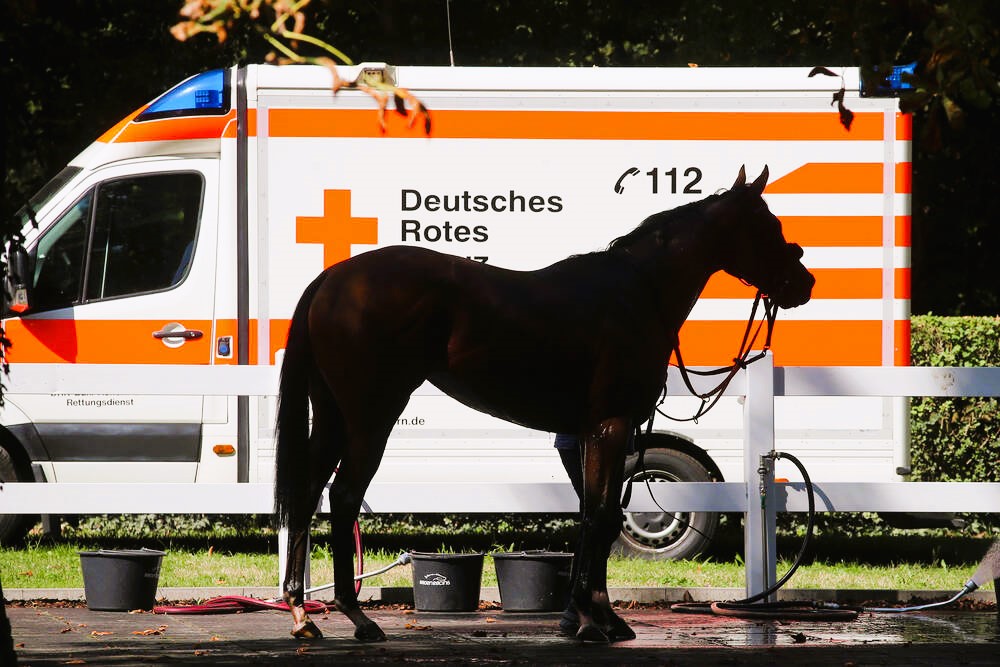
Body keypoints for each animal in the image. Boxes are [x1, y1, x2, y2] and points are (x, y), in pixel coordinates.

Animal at [272, 166, 812, 640]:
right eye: (769, 225)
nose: (803, 283)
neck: (640, 293)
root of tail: (332, 280)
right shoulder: (610, 425)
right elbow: (599, 516)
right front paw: (590, 623)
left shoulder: (599, 431)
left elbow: (600, 515)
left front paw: (602, 618)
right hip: (371, 418)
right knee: (343, 497)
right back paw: (357, 618)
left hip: (332, 418)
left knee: (306, 493)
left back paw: (301, 613)